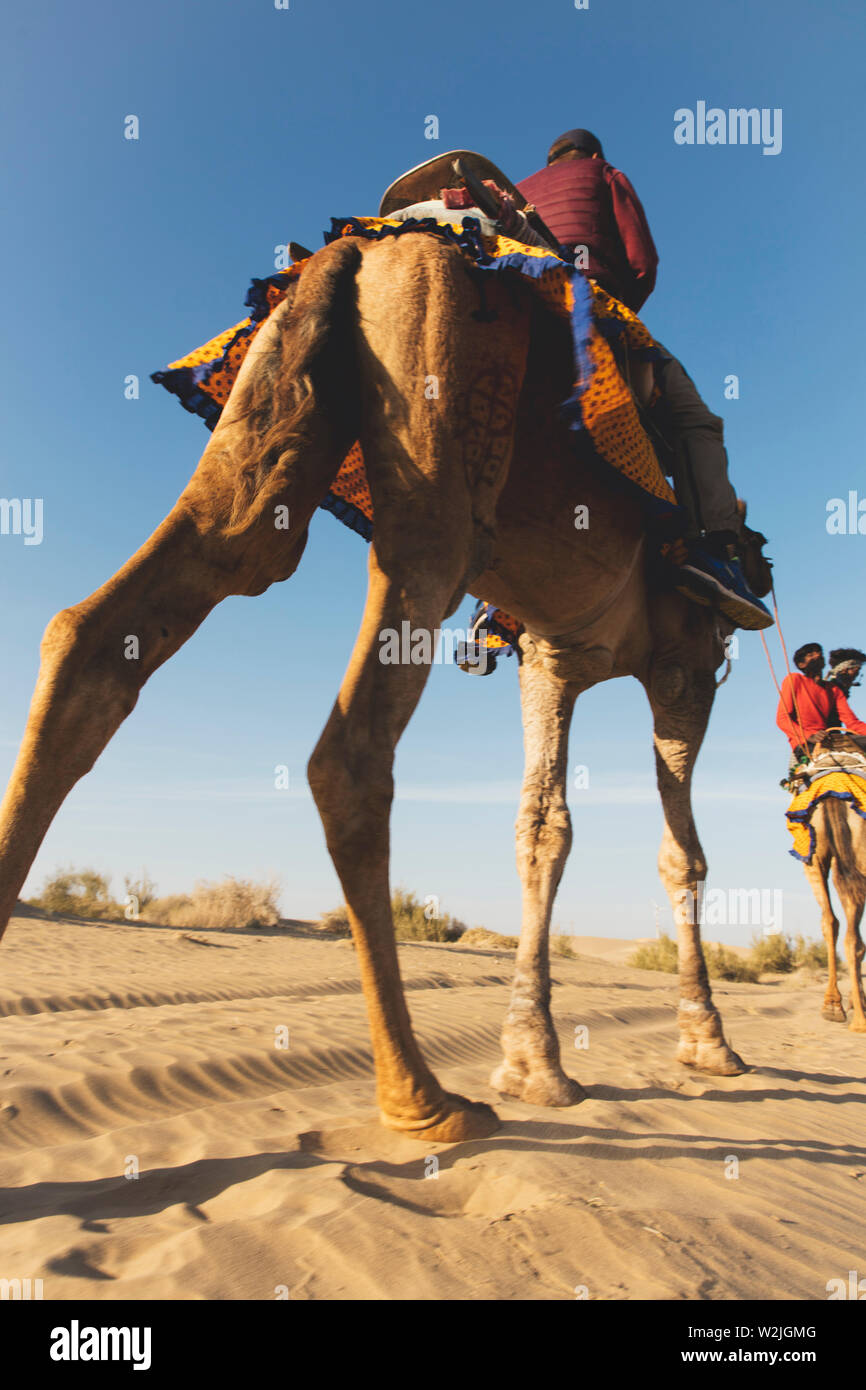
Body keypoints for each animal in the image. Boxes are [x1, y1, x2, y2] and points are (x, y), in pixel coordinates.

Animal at [0, 225, 772, 1139]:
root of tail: (366, 252)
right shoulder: (684, 663)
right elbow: (682, 854)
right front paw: (708, 1043)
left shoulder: (554, 657)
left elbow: (543, 828)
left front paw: (535, 1063)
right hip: (441, 454)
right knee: (350, 744)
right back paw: (423, 1100)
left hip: (278, 423)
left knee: (123, 618)